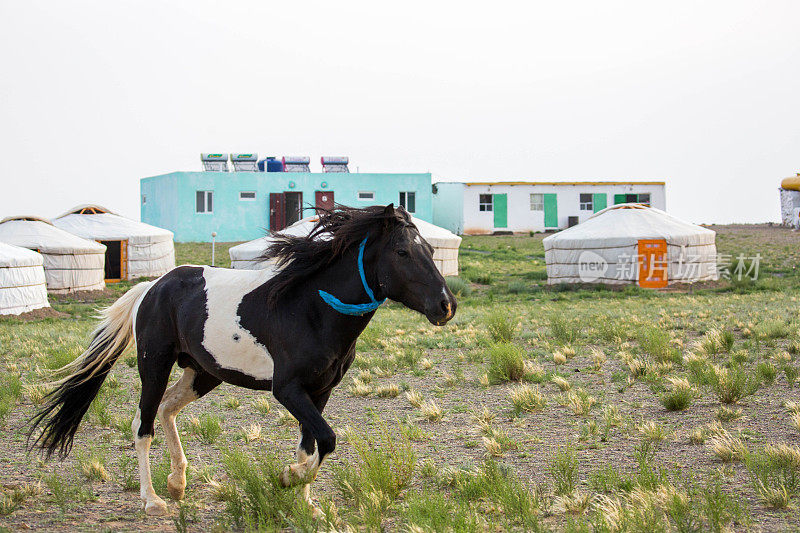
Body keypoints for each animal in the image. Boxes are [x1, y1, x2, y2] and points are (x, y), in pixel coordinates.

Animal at [29, 204, 456, 516]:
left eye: (432, 250)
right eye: (402, 251)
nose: (446, 305)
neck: (312, 309)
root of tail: (152, 287)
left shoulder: (320, 392)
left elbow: (313, 443)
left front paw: (306, 504)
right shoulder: (287, 390)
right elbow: (327, 439)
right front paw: (289, 479)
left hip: (203, 373)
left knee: (166, 410)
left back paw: (177, 483)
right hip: (155, 366)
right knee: (143, 425)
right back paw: (153, 500)